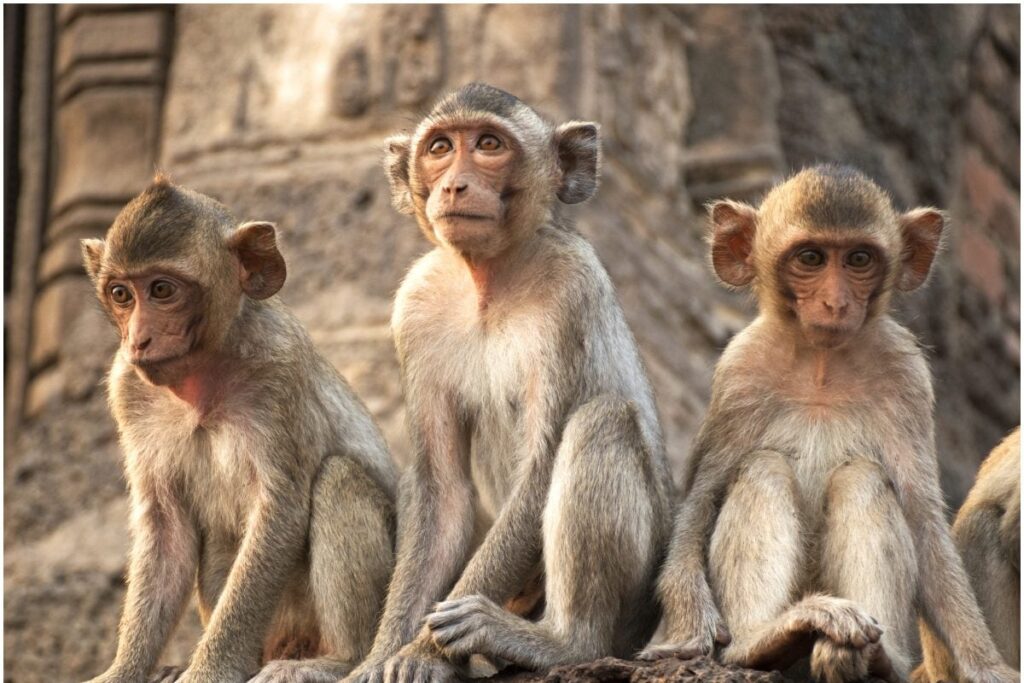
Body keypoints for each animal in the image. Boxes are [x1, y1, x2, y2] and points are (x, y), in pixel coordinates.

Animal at [79, 176, 397, 683]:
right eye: (122, 294)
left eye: (162, 289)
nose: (139, 339)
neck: (203, 377)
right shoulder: (127, 387)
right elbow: (167, 529)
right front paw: (124, 670)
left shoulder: (279, 369)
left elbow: (280, 511)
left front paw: (211, 669)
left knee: (339, 480)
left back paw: (335, 660)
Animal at [345, 83, 674, 683]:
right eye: (440, 148)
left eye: (489, 145)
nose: (455, 183)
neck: (488, 278)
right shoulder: (415, 305)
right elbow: (443, 488)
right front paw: (381, 657)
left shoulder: (571, 288)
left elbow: (541, 467)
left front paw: (422, 653)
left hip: (636, 607)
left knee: (602, 421)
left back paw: (563, 643)